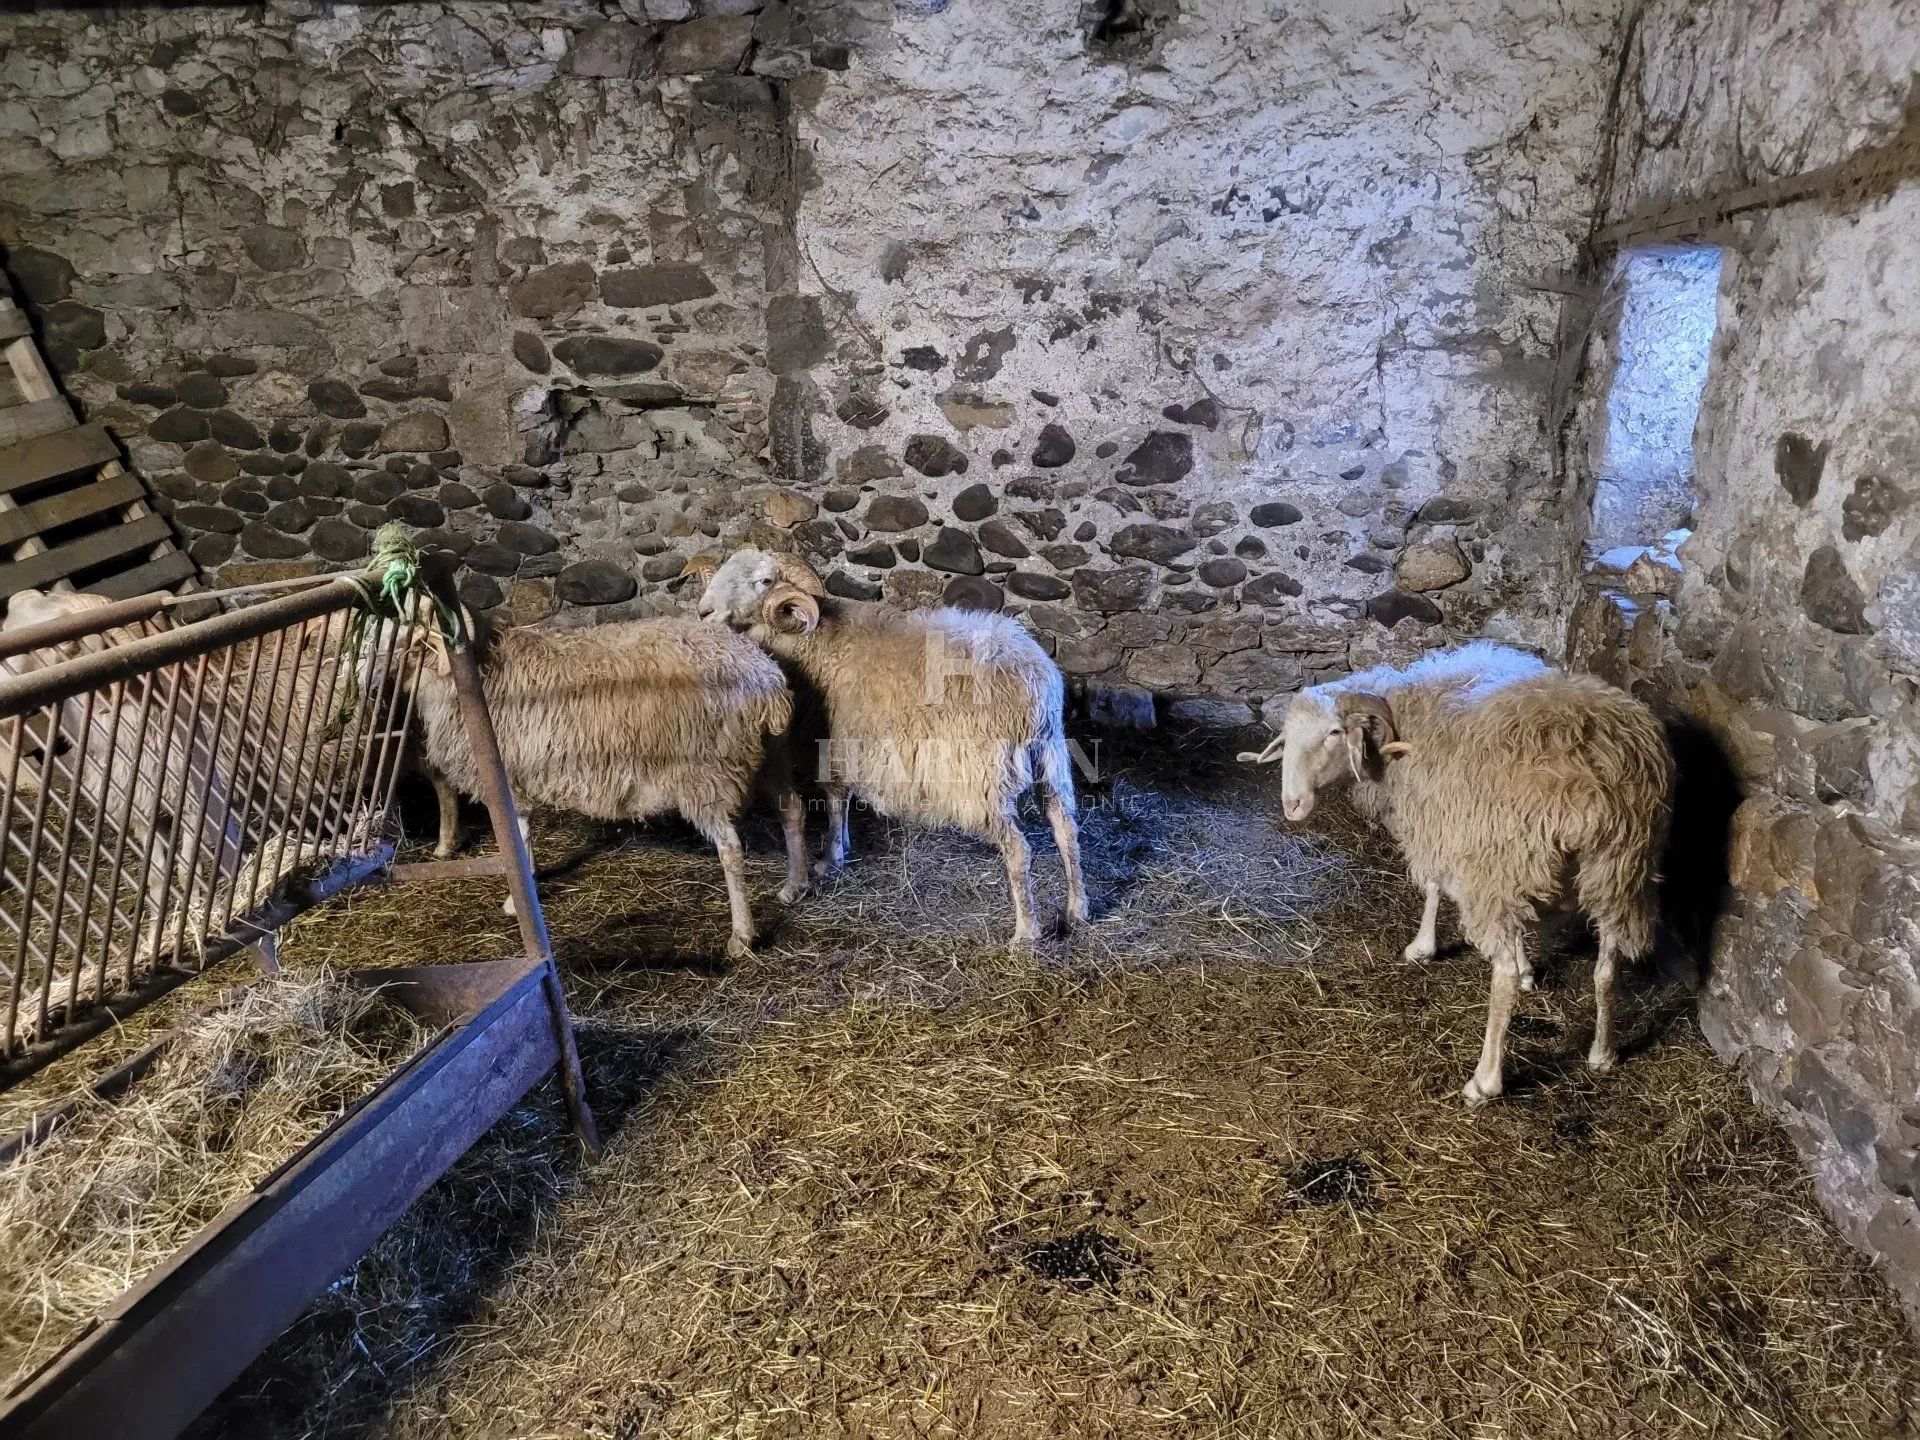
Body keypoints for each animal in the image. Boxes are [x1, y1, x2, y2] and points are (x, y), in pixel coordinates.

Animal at [412, 610, 810, 960]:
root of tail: (764, 680)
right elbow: (523, 833)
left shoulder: (507, 777)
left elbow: (517, 835)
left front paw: (517, 898)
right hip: (772, 755)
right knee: (792, 810)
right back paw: (794, 885)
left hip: (705, 773)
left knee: (731, 848)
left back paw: (741, 936)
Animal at [691, 549, 1090, 948]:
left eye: (765, 581)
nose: (704, 612)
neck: (816, 641)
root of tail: (1034, 680)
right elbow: (841, 801)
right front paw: (839, 851)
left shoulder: (832, 742)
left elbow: (834, 801)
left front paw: (830, 858)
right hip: (1052, 755)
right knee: (1065, 826)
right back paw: (1078, 909)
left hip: (979, 780)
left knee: (1018, 849)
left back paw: (1025, 933)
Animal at [1244, 648, 1666, 1113]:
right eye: (1288, 737)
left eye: (1335, 732)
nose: (1293, 805)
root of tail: (1590, 782)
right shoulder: (1489, 854)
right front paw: (1528, 968)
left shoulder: (1437, 824)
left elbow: (1431, 886)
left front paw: (1422, 948)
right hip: (1618, 869)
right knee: (1607, 967)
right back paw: (1602, 1054)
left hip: (1515, 859)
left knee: (1501, 976)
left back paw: (1484, 1081)